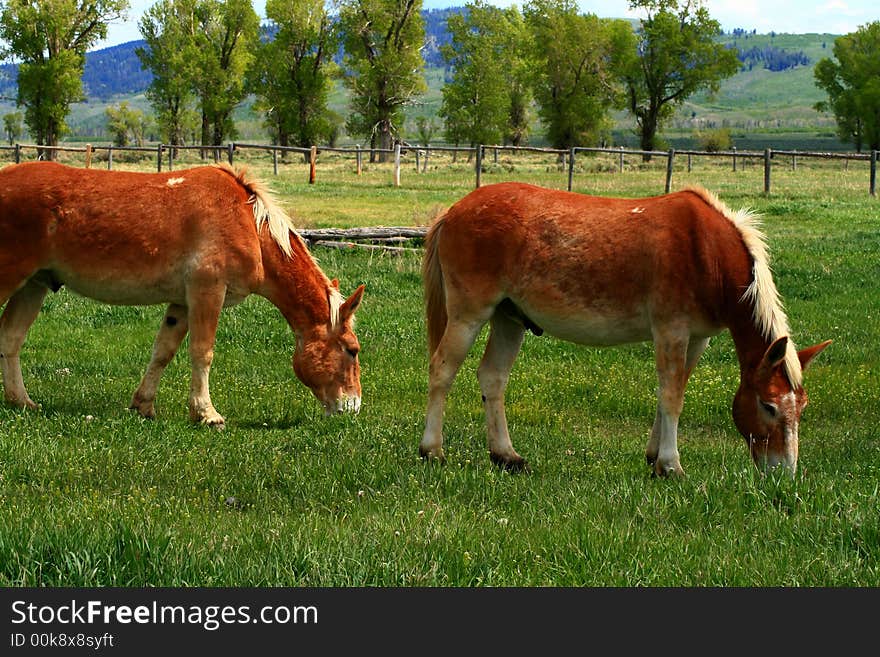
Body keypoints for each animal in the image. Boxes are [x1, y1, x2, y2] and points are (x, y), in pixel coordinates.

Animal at [0, 161, 364, 422]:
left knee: (11, 339)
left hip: (33, 286)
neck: (247, 221)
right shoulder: (207, 291)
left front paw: (144, 405)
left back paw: (21, 401)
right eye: (352, 350)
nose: (353, 406)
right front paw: (206, 413)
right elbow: (202, 352)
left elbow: (163, 351)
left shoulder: (182, 302)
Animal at [420, 182, 832, 474]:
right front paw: (671, 465)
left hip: (508, 319)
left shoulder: (697, 338)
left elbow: (674, 391)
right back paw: (432, 451)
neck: (706, 252)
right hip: (469, 314)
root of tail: (454, 210)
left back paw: (506, 456)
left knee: (493, 378)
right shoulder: (671, 331)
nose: (784, 474)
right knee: (442, 371)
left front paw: (654, 457)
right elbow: (672, 395)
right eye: (768, 406)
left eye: (802, 407)